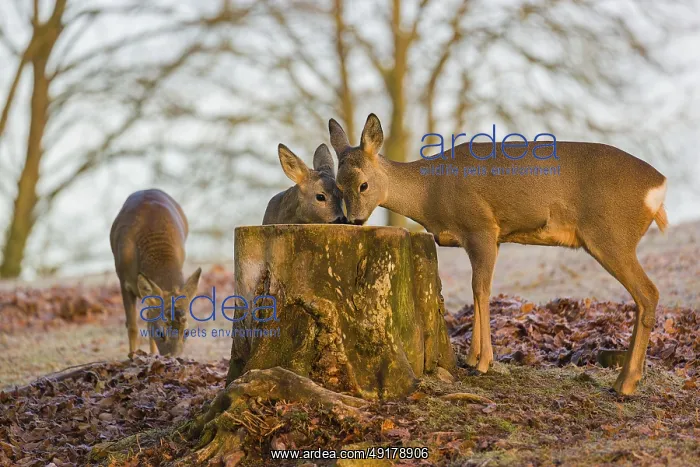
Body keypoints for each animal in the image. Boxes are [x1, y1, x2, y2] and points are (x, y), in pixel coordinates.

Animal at [110, 189, 202, 358]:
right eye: (161, 333)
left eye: (186, 332)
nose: (175, 358)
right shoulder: (123, 280)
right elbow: (132, 326)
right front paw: (132, 356)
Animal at [328, 113, 668, 396]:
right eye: (337, 187)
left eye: (363, 185)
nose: (353, 221)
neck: (429, 192)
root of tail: (659, 185)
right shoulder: (487, 238)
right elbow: (476, 290)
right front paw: (471, 358)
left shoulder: (482, 227)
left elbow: (481, 289)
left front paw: (482, 363)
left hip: (611, 235)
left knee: (649, 293)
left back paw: (625, 385)